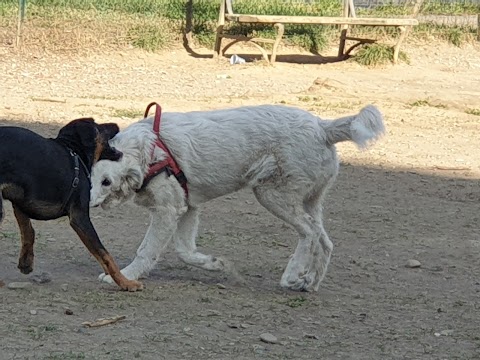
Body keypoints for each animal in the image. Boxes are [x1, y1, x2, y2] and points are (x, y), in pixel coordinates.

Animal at [0, 119, 142, 292]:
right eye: (97, 126)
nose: (115, 123)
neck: (76, 153)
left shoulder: (19, 202)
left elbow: (28, 232)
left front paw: (26, 263)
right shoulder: (79, 217)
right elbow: (104, 253)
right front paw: (125, 283)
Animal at [90, 104, 384, 292]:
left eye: (106, 182)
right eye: (85, 174)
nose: (86, 201)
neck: (149, 153)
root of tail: (323, 127)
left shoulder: (167, 210)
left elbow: (146, 250)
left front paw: (125, 277)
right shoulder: (187, 207)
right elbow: (185, 251)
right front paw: (214, 264)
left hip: (272, 194)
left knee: (309, 233)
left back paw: (292, 275)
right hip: (310, 200)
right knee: (325, 242)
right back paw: (309, 282)